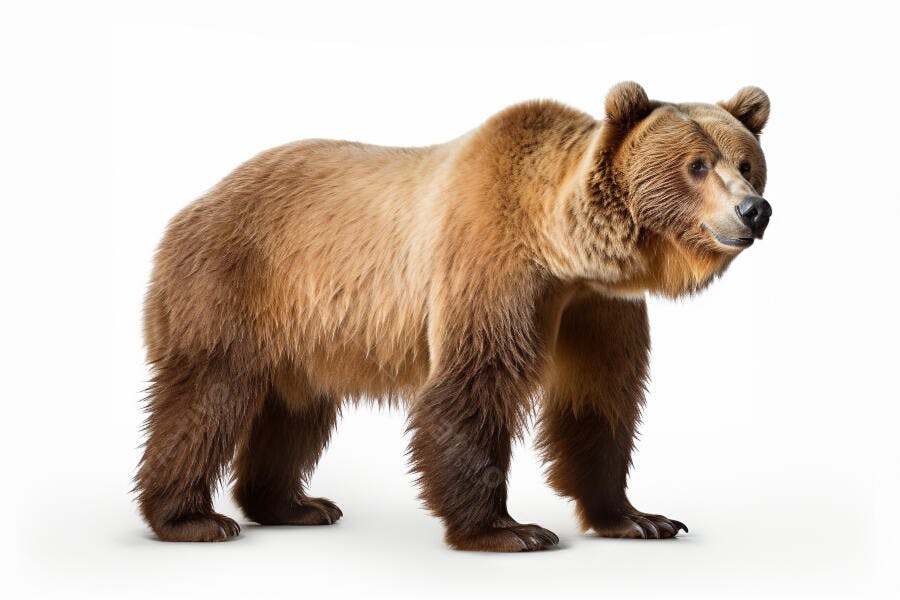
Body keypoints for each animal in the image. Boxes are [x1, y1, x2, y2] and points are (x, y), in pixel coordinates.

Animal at [135, 82, 771, 551]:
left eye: (747, 163)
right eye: (696, 165)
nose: (754, 210)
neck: (562, 251)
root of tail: (196, 201)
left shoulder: (597, 306)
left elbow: (599, 398)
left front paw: (639, 518)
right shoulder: (490, 262)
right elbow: (475, 383)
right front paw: (508, 530)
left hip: (309, 329)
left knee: (295, 409)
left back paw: (295, 504)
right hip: (236, 280)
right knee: (208, 395)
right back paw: (192, 519)